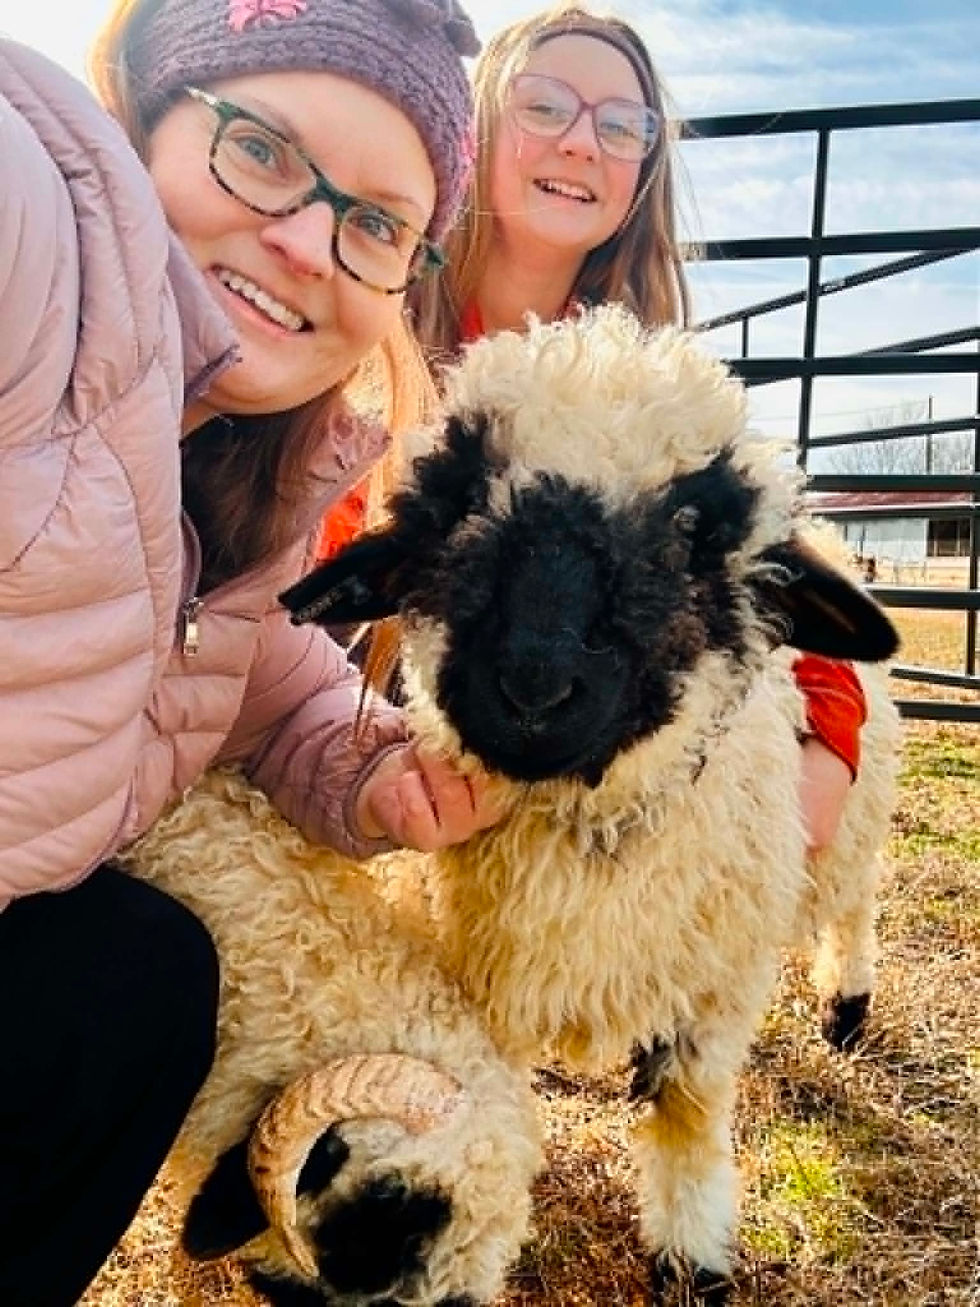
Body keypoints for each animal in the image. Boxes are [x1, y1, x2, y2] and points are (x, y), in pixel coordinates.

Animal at [280, 305, 903, 1301]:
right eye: (463, 505)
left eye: (690, 527)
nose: (533, 684)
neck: (581, 847)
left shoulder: (712, 985)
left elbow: (689, 1121)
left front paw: (693, 1256)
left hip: (853, 828)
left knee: (852, 905)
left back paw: (846, 1006)